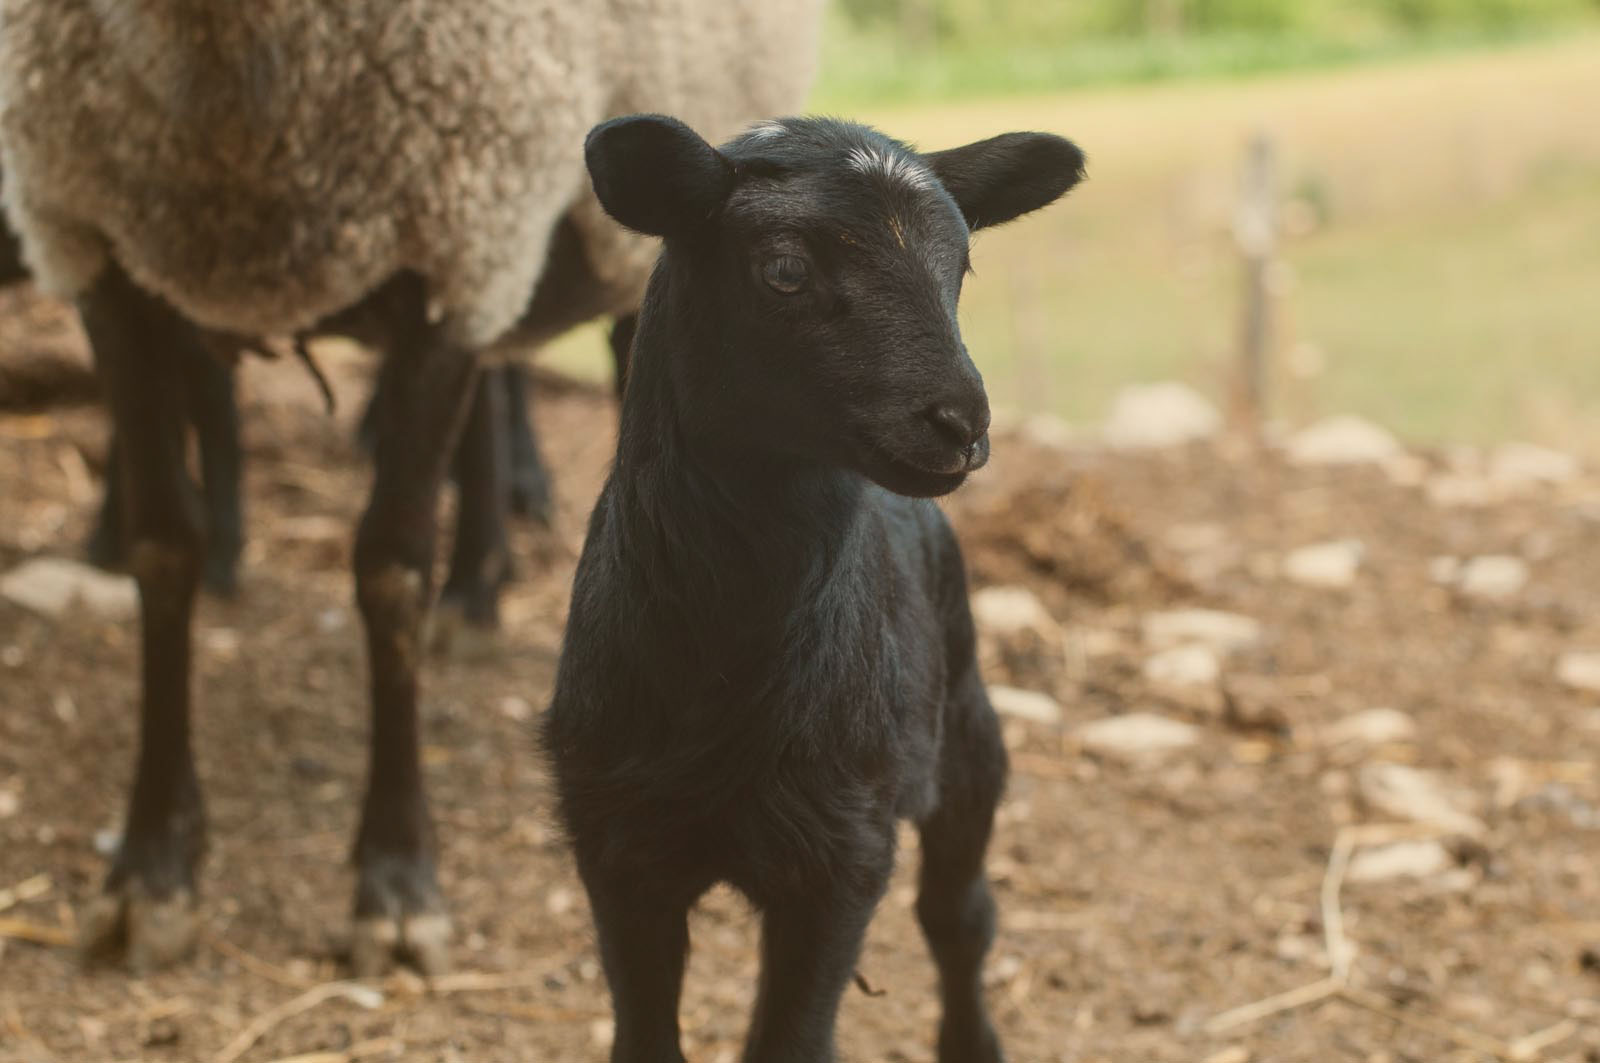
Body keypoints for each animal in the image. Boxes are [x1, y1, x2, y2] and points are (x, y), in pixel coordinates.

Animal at [0, 0, 825, 973]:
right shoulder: (96, 249)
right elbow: (164, 553)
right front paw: (151, 871)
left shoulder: (459, 239)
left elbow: (390, 570)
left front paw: (394, 886)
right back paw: (474, 593)